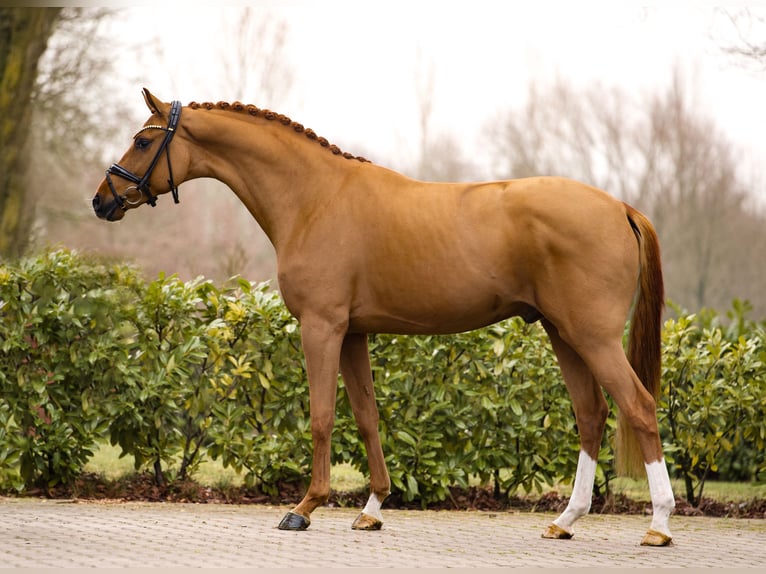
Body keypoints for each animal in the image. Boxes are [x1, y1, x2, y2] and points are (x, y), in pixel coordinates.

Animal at [93, 88, 676, 548]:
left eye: (142, 141)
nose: (102, 201)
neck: (314, 198)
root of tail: (620, 207)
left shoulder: (321, 327)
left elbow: (323, 416)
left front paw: (303, 509)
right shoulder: (354, 333)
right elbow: (367, 416)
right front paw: (372, 509)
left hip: (593, 336)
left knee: (639, 407)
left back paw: (660, 525)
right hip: (563, 333)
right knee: (591, 414)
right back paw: (566, 520)